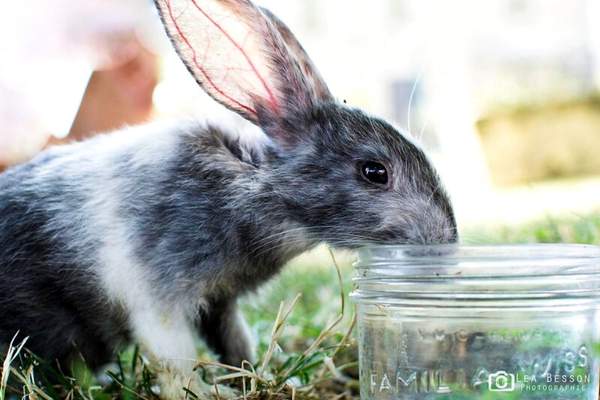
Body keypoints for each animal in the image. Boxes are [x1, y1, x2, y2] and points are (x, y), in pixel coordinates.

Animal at [0, 0, 454, 384]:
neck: (256, 186)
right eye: (374, 172)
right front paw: (207, 391)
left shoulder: (221, 304)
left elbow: (234, 342)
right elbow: (175, 360)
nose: (446, 241)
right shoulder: (158, 297)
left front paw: (255, 376)